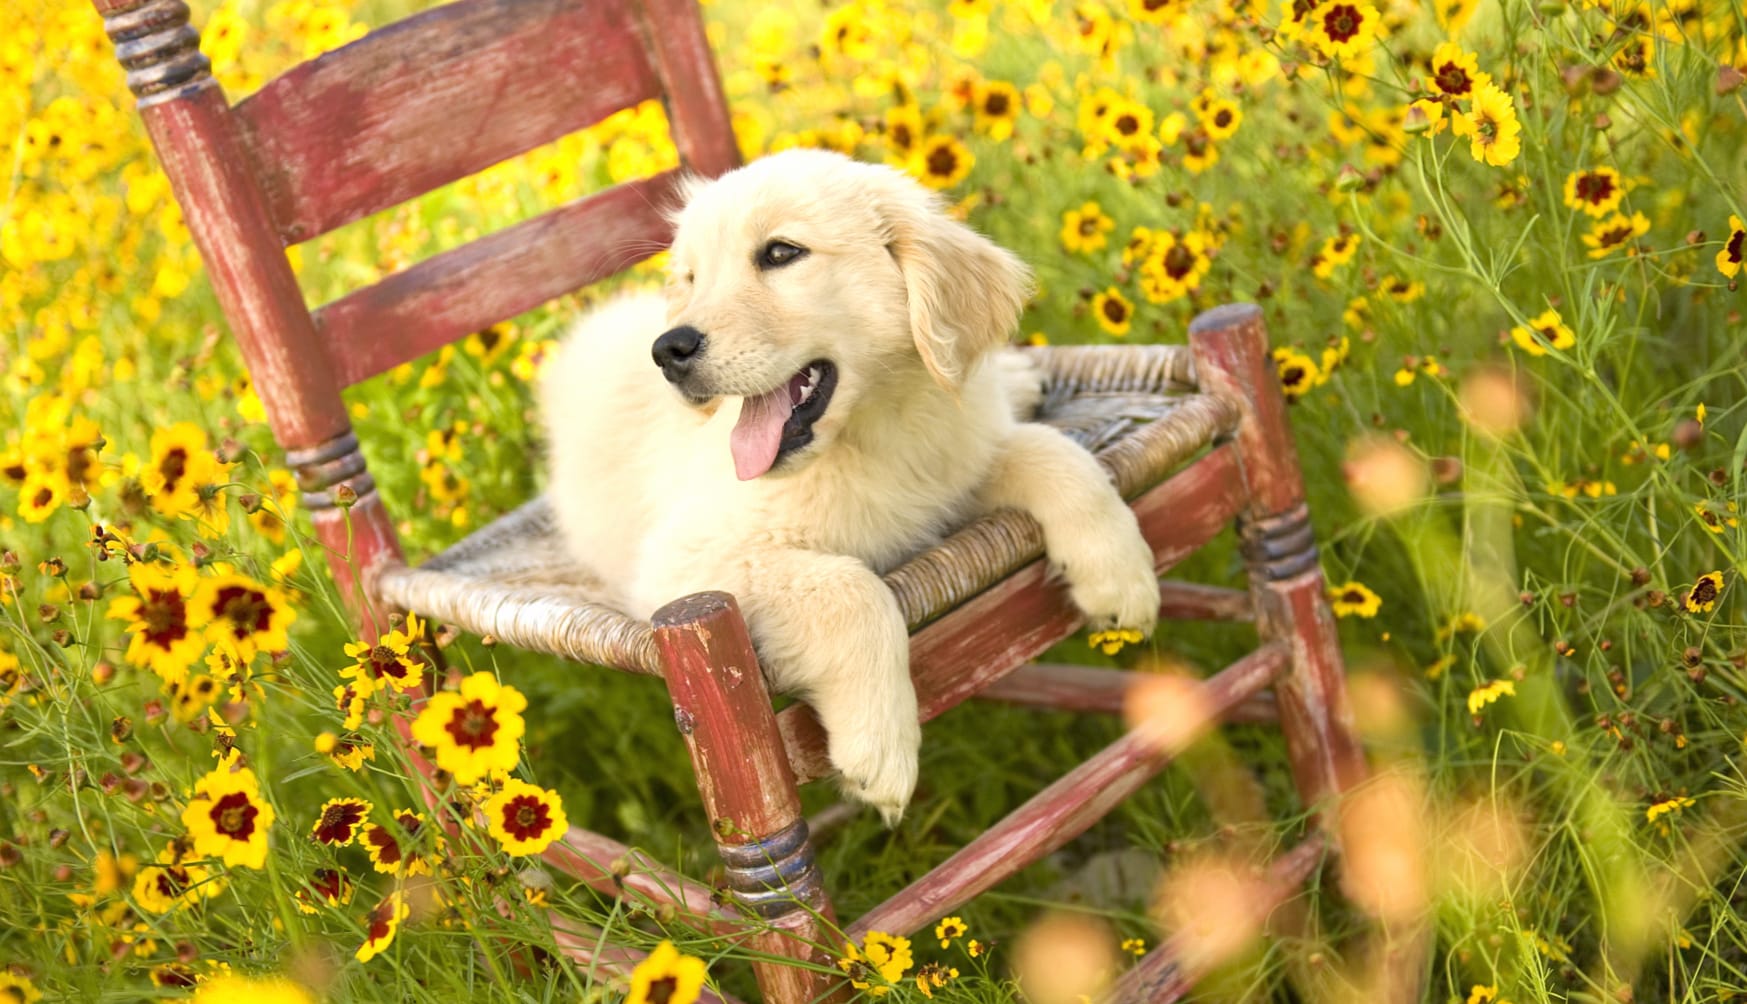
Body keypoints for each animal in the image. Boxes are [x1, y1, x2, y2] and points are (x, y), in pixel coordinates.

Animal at [538, 149, 1153, 824]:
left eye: (781, 254)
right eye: (692, 278)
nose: (668, 350)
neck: (869, 435)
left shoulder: (954, 465)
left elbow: (1059, 453)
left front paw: (1120, 578)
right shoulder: (687, 564)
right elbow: (852, 587)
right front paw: (879, 749)